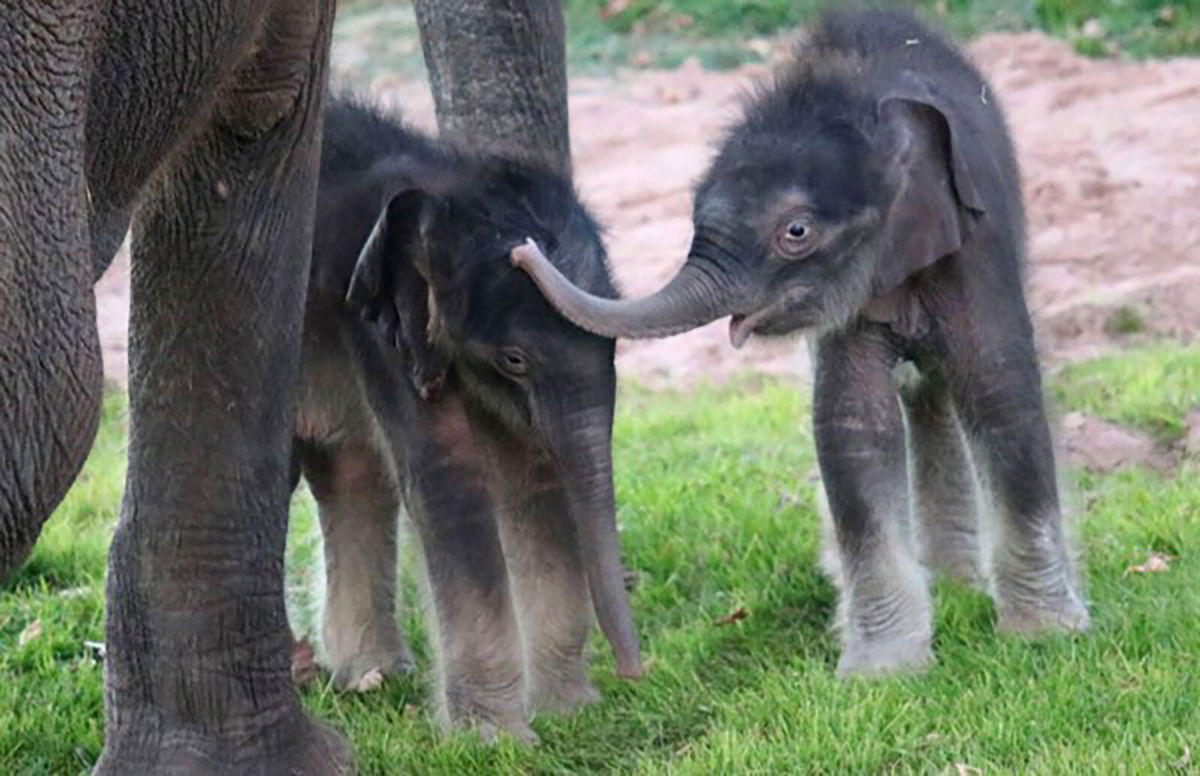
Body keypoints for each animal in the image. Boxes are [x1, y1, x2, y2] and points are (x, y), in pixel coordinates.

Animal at [291, 97, 643, 738]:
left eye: (614, 345)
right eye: (514, 359)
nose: (637, 674)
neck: (442, 184)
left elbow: (527, 473)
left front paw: (568, 711)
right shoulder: (375, 324)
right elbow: (447, 476)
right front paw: (494, 741)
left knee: (350, 472)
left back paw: (371, 676)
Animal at [511, 10, 1094, 681]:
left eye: (796, 231)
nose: (520, 251)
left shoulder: (978, 243)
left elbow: (1000, 389)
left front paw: (1045, 636)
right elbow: (851, 421)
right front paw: (884, 672)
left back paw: (958, 586)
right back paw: (941, 585)